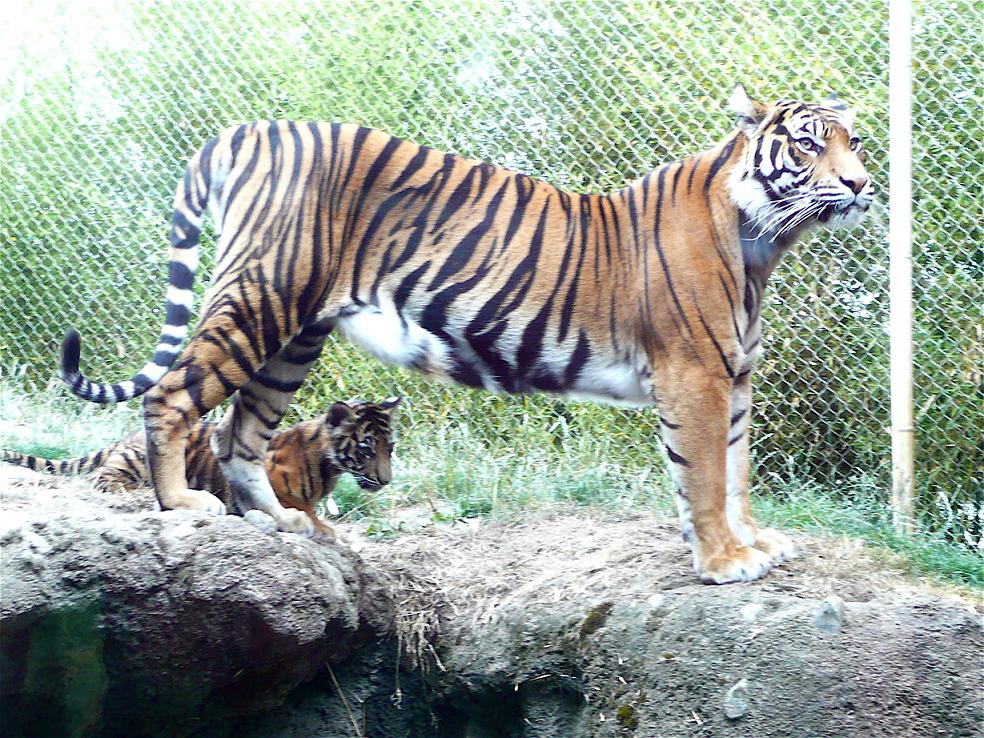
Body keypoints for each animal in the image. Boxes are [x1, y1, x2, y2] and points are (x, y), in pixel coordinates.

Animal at [2, 397, 401, 538]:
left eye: (390, 447)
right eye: (366, 448)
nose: (385, 480)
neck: (329, 469)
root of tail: (126, 435)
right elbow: (292, 506)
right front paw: (319, 527)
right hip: (138, 460)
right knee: (105, 479)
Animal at [56, 84, 872, 583]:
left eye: (855, 141)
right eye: (806, 145)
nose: (862, 185)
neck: (764, 242)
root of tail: (256, 127)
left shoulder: (734, 377)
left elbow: (735, 473)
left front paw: (752, 542)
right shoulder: (695, 373)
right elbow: (702, 475)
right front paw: (722, 561)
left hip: (294, 335)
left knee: (241, 433)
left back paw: (289, 523)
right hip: (262, 297)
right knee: (172, 393)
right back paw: (182, 506)